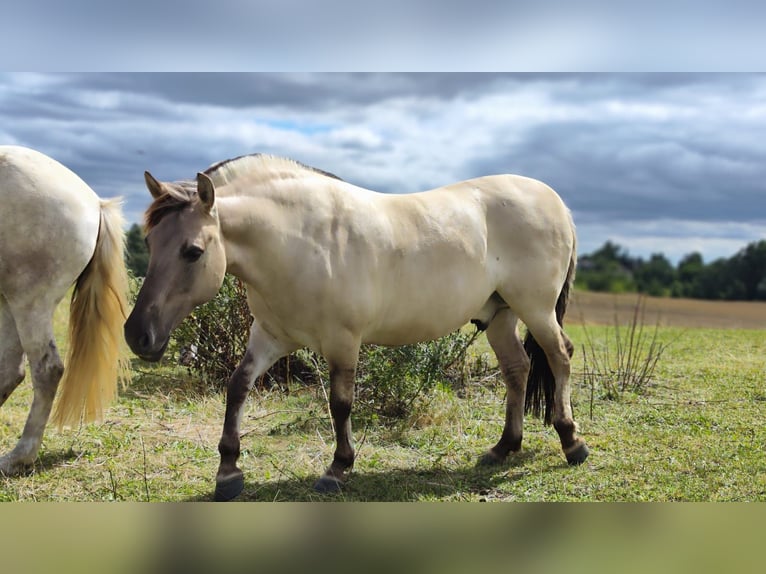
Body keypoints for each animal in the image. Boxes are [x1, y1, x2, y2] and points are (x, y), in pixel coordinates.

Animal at [0, 145, 130, 476]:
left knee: (47, 370)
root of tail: (95, 203)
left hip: (29, 302)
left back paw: (18, 457)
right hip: (11, 301)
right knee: (11, 370)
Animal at [126, 155, 592, 502]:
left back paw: (572, 443)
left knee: (559, 356)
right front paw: (228, 471)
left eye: (192, 251)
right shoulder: (270, 336)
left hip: (536, 309)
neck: (299, 240)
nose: (137, 335)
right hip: (500, 315)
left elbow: (340, 403)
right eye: (149, 243)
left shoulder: (343, 341)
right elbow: (238, 386)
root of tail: (556, 201)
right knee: (517, 369)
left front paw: (338, 468)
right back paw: (503, 448)